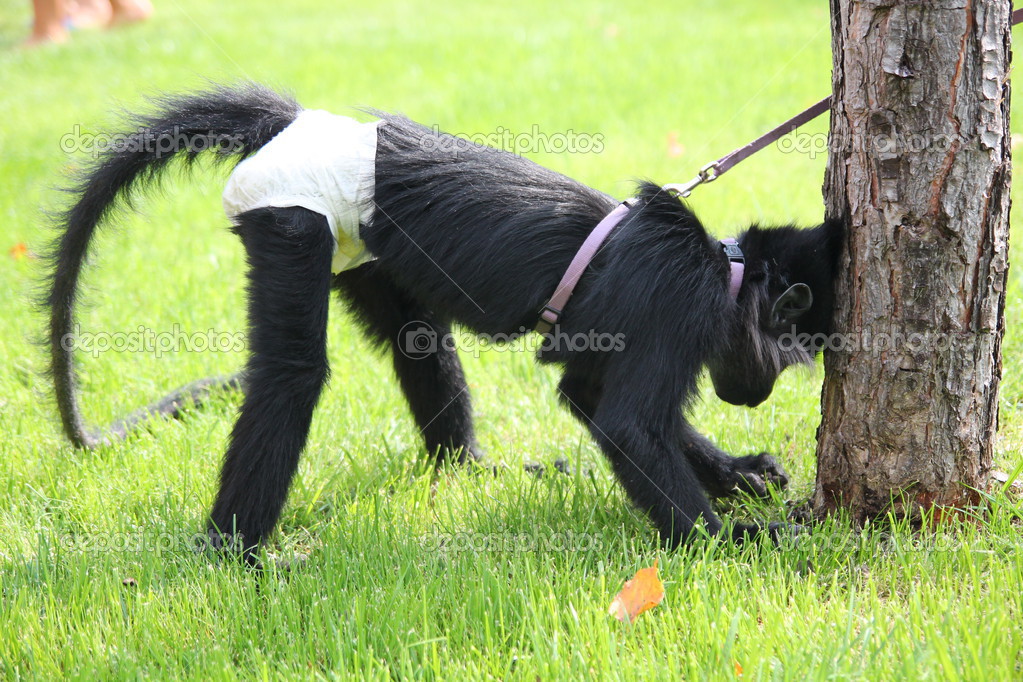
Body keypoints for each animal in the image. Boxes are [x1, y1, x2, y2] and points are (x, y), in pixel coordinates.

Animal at [46, 82, 838, 556]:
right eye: (785, 359)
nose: (756, 394)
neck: (721, 266)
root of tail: (291, 120)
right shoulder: (678, 302)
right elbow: (630, 426)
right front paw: (740, 539)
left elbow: (589, 397)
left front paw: (737, 475)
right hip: (292, 219)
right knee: (293, 371)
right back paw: (230, 556)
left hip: (355, 245)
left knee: (417, 339)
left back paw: (468, 465)